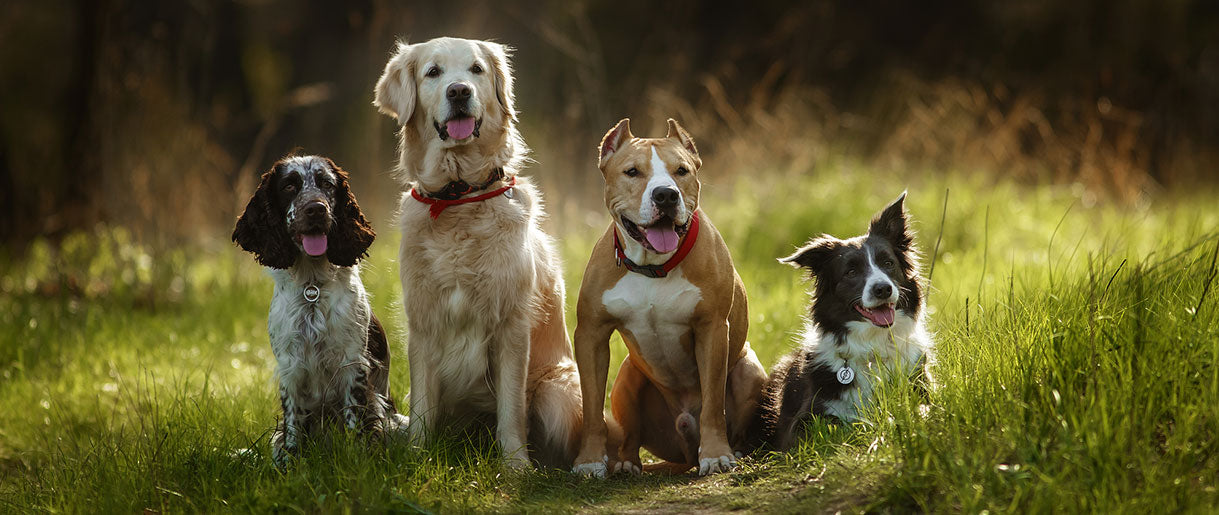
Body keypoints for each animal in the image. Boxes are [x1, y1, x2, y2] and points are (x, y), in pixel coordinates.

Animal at [232, 153, 409, 466]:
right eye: (289, 186)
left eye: (327, 184)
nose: (316, 209)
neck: (312, 286)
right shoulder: (290, 367)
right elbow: (293, 425)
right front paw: (290, 465)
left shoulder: (352, 364)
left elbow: (356, 420)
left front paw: (356, 460)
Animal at [370, 37, 585, 471]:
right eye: (433, 72)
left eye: (476, 70)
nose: (459, 92)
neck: (458, 197)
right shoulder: (423, 324)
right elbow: (422, 408)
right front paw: (416, 457)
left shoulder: (511, 325)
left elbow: (511, 409)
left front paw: (516, 467)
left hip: (557, 392)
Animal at [568, 118, 760, 475]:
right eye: (632, 172)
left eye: (681, 170)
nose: (666, 195)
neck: (653, 268)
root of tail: (685, 451)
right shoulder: (591, 335)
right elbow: (591, 408)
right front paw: (589, 461)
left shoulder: (712, 329)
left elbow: (713, 404)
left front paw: (717, 454)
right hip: (627, 377)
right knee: (630, 434)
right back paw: (626, 464)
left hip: (748, 370)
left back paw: (737, 452)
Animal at [750, 191, 931, 451]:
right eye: (851, 272)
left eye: (888, 263)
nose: (883, 289)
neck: (872, 347)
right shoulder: (802, 421)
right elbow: (839, 424)